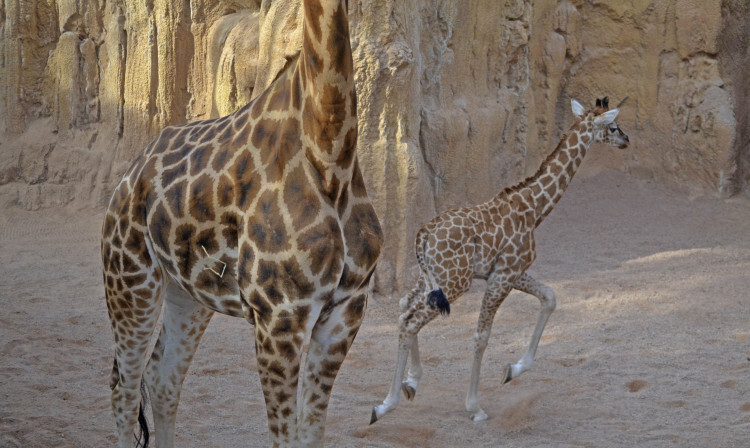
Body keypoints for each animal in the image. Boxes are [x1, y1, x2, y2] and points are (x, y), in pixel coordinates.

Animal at [101, 1, 383, 447]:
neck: (330, 153)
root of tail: (129, 175)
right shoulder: (279, 319)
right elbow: (284, 437)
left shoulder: (347, 311)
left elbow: (310, 434)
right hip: (130, 279)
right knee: (124, 388)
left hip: (187, 295)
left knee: (163, 380)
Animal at [370, 97, 629, 424]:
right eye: (613, 126)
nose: (626, 140)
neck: (534, 207)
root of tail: (422, 235)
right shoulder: (503, 275)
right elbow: (481, 336)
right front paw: (475, 407)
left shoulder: (513, 271)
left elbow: (550, 296)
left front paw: (513, 370)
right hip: (455, 283)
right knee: (410, 322)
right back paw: (384, 405)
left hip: (433, 278)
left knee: (404, 307)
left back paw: (411, 382)